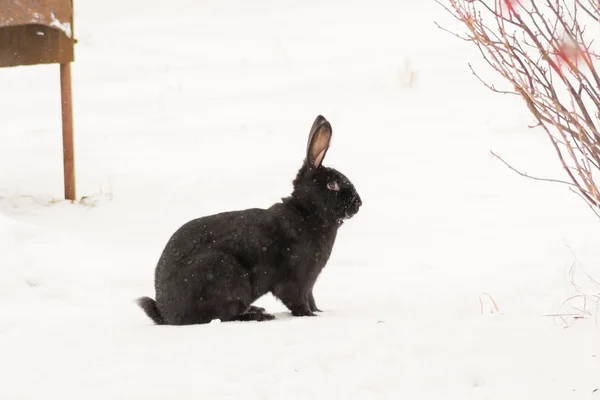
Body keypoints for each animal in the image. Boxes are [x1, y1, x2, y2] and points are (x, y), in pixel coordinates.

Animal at [137, 113, 360, 324]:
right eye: (332, 185)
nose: (359, 203)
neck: (306, 212)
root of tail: (168, 315)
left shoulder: (308, 284)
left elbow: (311, 298)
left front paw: (319, 312)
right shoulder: (297, 278)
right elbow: (297, 300)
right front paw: (310, 316)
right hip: (225, 274)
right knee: (225, 316)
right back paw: (260, 315)